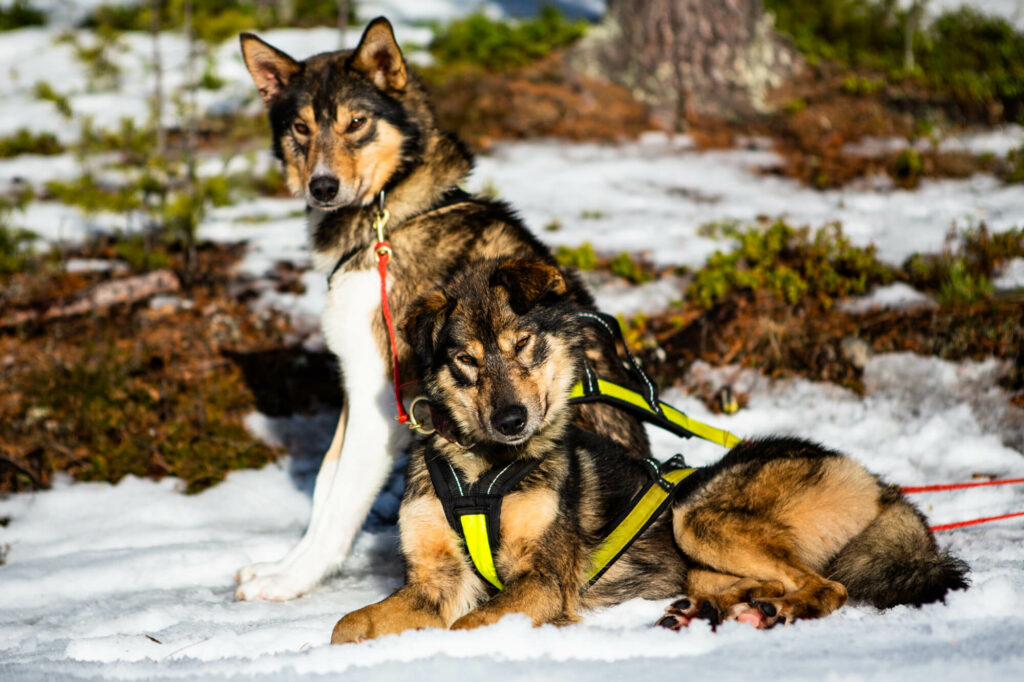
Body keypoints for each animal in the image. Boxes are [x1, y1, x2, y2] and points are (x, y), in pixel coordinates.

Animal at [333, 254, 966, 638]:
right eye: (466, 359)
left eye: (525, 345)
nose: (512, 419)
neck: (482, 471)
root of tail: (875, 482)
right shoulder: (433, 583)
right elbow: (348, 626)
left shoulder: (541, 581)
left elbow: (468, 625)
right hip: (700, 557)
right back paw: (722, 609)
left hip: (697, 515)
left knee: (827, 586)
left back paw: (779, 610)